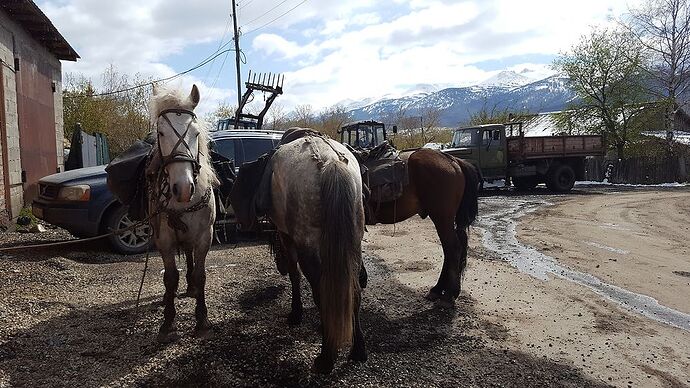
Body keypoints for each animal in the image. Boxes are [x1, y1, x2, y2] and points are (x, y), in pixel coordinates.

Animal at [146, 83, 218, 342]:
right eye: (161, 133)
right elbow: (170, 277)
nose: (184, 188)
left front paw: (202, 319)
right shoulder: (164, 240)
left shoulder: (205, 236)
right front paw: (168, 321)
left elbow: (200, 274)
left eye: (195, 134)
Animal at [370, 149, 478, 306]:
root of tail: (452, 159)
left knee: (453, 248)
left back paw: (448, 295)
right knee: (450, 249)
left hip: (442, 217)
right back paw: (438, 290)